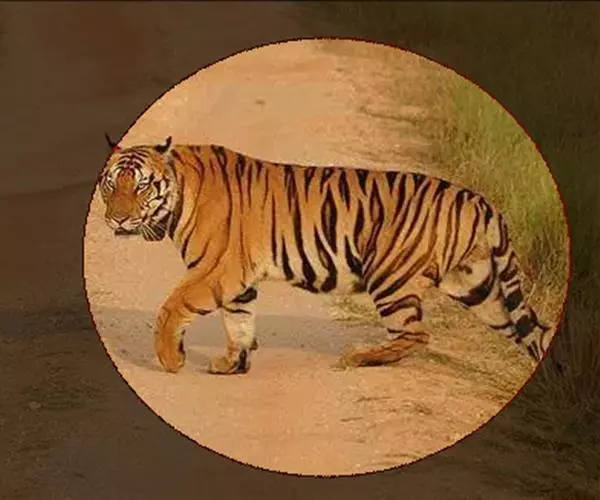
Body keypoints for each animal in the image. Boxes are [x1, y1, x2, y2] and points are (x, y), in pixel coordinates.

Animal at [97, 134, 553, 375]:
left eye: (140, 186)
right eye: (110, 185)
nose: (117, 219)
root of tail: (481, 202)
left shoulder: (216, 269)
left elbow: (171, 308)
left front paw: (170, 359)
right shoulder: (236, 280)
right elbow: (239, 321)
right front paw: (232, 363)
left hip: (390, 276)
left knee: (416, 334)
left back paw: (360, 357)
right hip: (480, 288)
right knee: (534, 331)